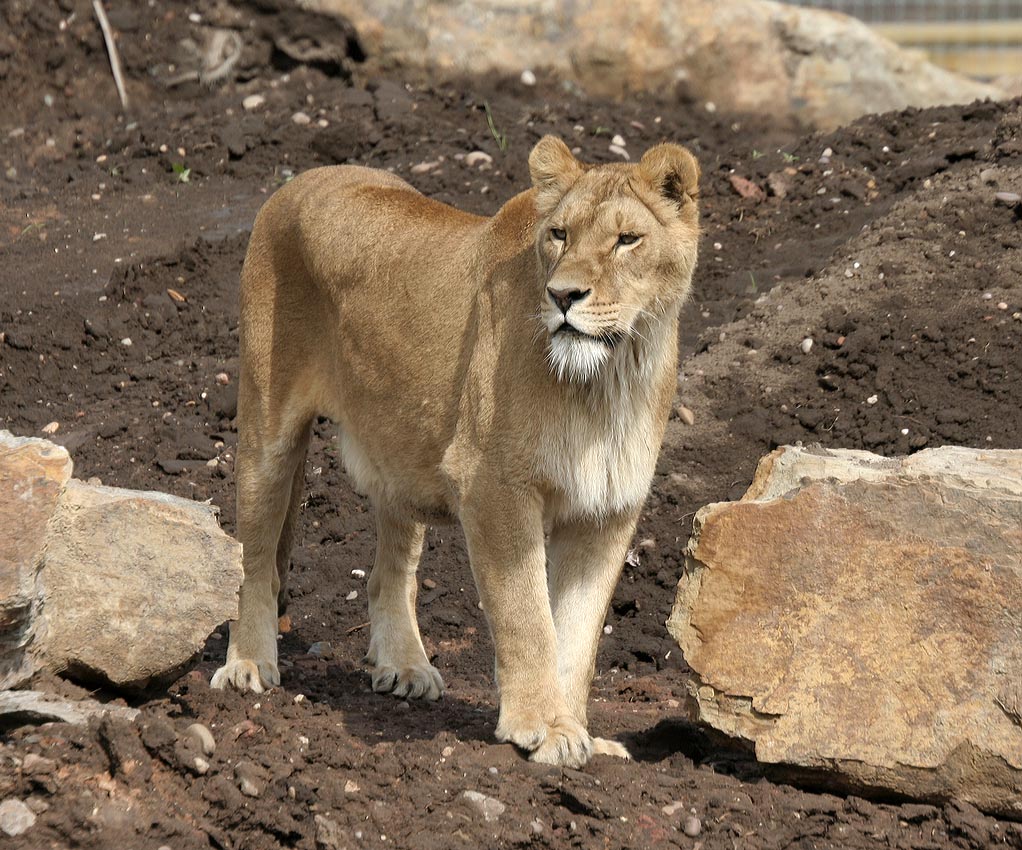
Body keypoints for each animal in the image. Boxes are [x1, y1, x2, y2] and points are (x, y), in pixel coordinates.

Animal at [211, 136, 700, 768]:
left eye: (627, 239)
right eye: (559, 234)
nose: (563, 295)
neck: (610, 377)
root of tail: (299, 180)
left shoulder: (608, 510)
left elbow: (579, 634)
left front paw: (578, 733)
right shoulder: (494, 487)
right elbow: (528, 617)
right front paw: (540, 725)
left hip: (401, 446)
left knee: (388, 571)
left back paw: (405, 667)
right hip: (267, 432)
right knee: (255, 556)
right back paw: (248, 665)